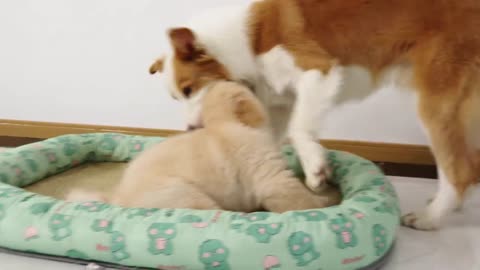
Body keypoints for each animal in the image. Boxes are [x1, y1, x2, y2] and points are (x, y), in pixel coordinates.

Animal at [148, 0, 478, 230]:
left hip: (436, 102)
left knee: (461, 171)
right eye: (177, 96)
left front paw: (316, 169)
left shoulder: (318, 72)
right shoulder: (279, 104)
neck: (247, 43)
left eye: (189, 89)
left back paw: (430, 217)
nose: (191, 129)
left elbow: (299, 128)